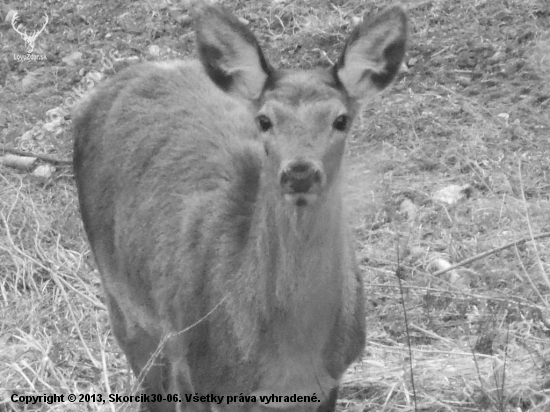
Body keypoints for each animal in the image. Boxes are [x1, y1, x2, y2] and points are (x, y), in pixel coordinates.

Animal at [72, 4, 410, 412]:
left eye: (341, 119)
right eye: (264, 119)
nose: (299, 172)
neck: (290, 360)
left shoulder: (331, 380)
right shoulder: (198, 370)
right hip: (123, 300)